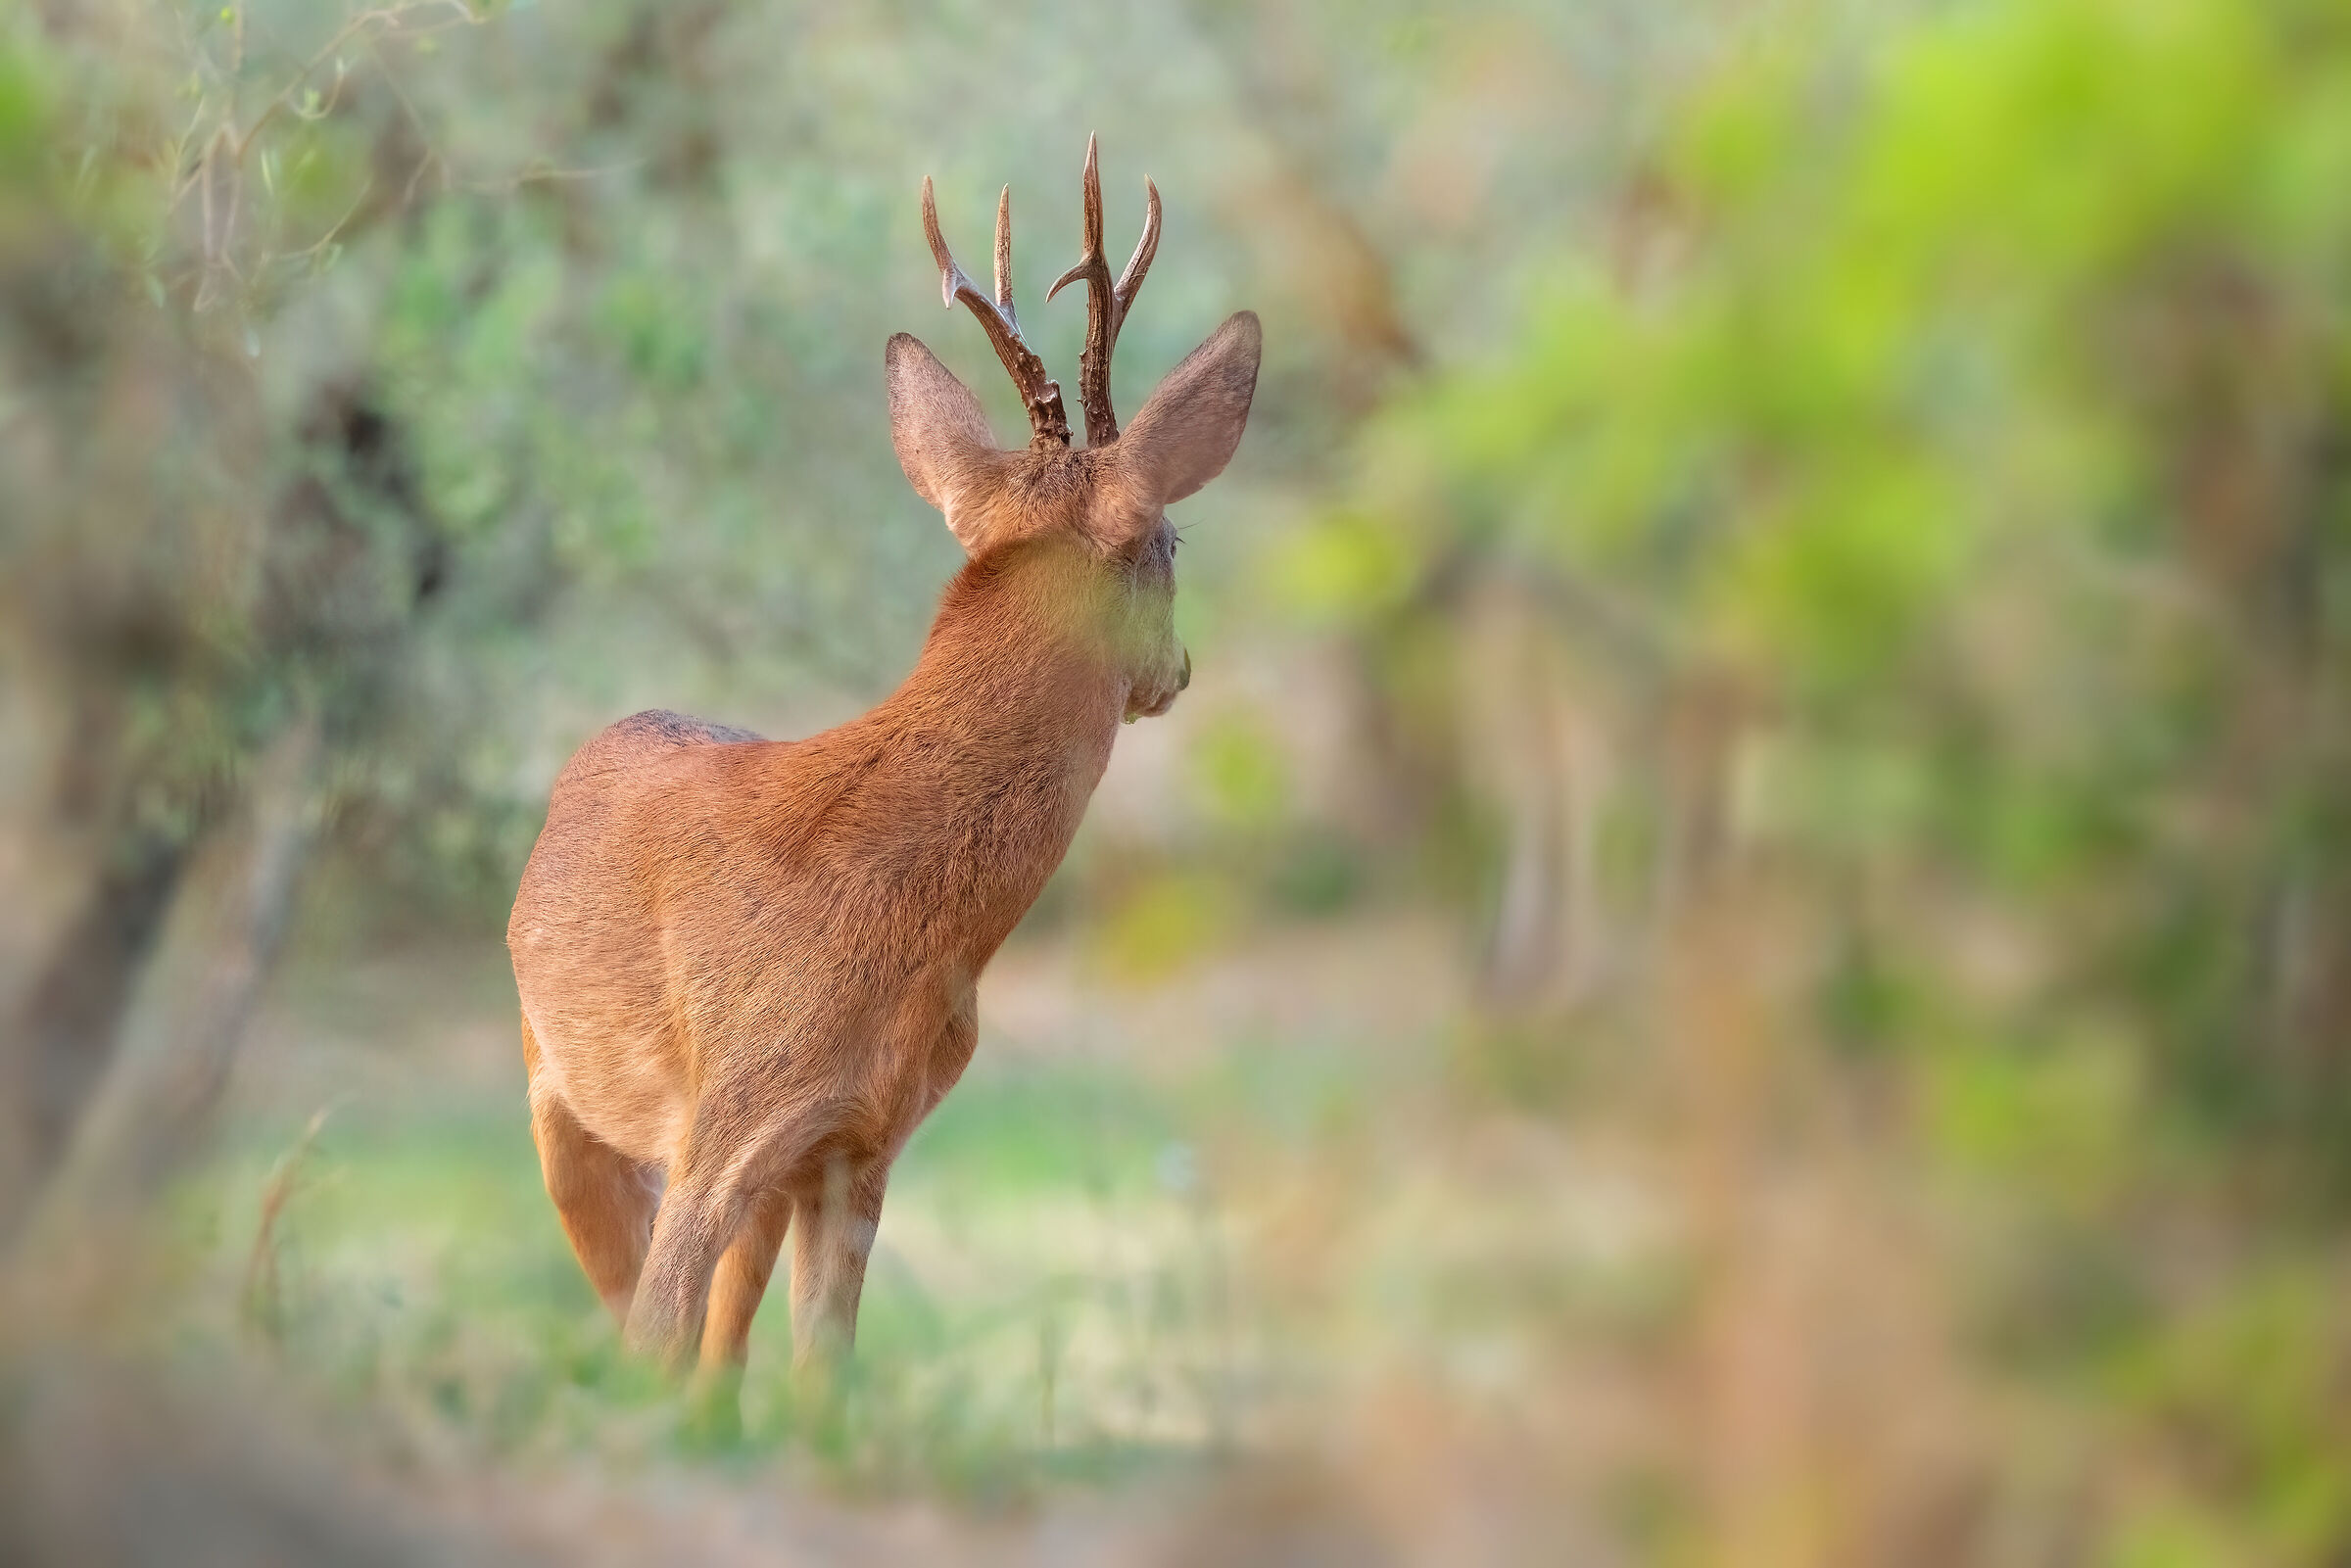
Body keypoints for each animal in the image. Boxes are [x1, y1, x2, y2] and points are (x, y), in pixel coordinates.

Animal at [505, 137, 1260, 1397]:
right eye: (1171, 540)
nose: (1180, 668)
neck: (895, 915)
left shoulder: (855, 1147)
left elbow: (821, 1384)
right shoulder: (720, 1124)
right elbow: (658, 1343)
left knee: (720, 1365)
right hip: (559, 1098)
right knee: (640, 1336)